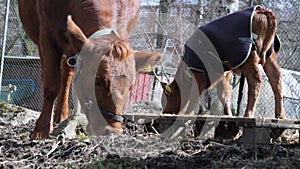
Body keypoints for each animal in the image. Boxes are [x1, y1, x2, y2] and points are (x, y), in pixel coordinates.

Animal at [18, 0, 162, 140]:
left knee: (67, 74)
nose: (112, 131)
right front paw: (40, 131)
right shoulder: (47, 34)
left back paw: (61, 115)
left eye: (130, 87)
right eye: (97, 82)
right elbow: (51, 86)